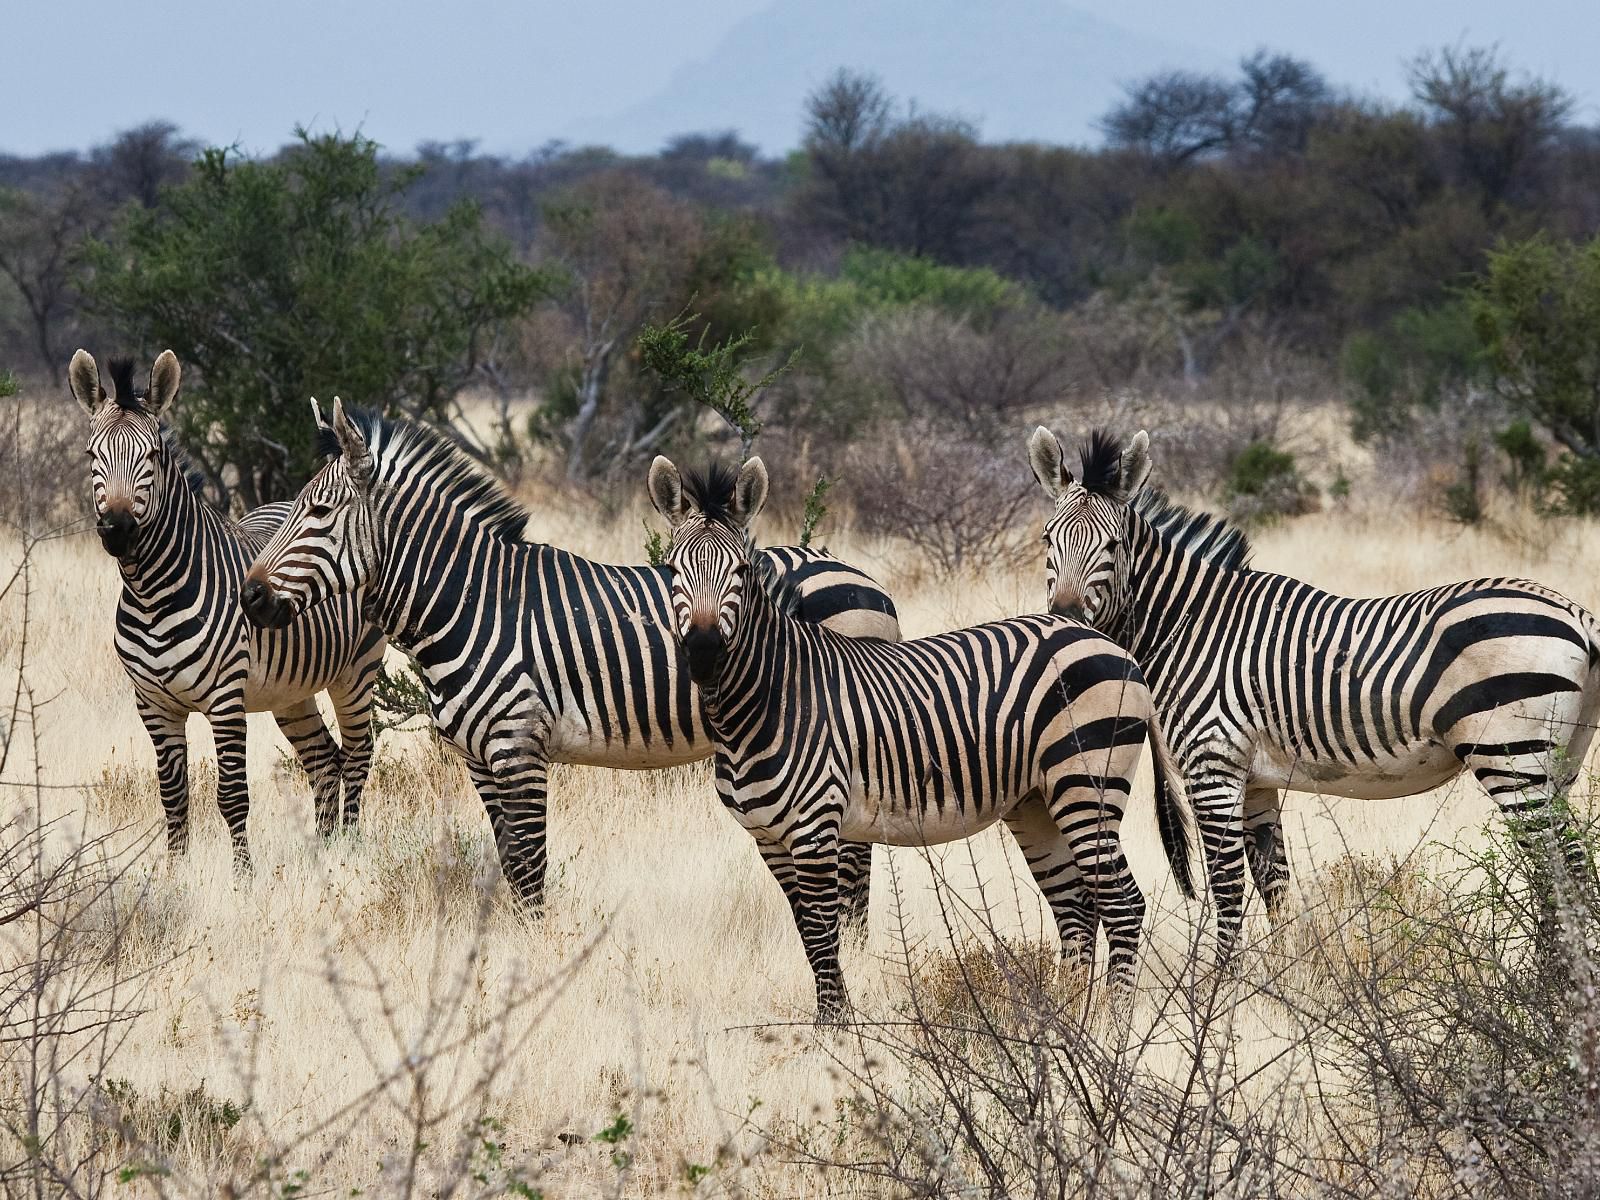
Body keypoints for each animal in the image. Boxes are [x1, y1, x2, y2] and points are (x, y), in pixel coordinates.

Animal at [71, 347, 390, 864]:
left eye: (153, 456)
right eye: (90, 454)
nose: (117, 529)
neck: (152, 592)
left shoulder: (225, 699)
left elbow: (232, 796)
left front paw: (243, 875)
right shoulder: (153, 704)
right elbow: (173, 795)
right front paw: (175, 873)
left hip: (356, 671)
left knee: (358, 754)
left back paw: (349, 849)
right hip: (292, 690)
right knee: (324, 760)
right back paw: (323, 852)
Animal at [241, 401, 908, 921]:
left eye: (318, 513)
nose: (248, 597)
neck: (473, 603)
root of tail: (865, 578)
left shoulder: (519, 749)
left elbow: (531, 871)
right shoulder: (480, 760)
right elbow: (510, 865)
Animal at [643, 454, 1196, 1017]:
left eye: (741, 571)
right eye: (672, 570)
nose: (704, 653)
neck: (768, 698)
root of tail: (1113, 646)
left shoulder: (815, 828)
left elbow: (823, 935)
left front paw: (835, 1027)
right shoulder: (769, 838)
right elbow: (808, 934)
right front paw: (836, 1019)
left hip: (1086, 784)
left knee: (1123, 903)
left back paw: (1111, 1019)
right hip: (1038, 801)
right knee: (1076, 906)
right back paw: (1064, 1014)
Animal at [1024, 425, 1600, 947]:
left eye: (1113, 545)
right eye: (1048, 539)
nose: (1066, 618)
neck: (1192, 625)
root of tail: (1576, 613)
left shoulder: (1213, 768)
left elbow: (1227, 889)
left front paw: (1221, 986)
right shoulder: (1255, 780)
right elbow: (1273, 882)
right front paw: (1286, 977)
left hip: (1511, 756)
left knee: (1562, 866)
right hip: (1557, 759)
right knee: (1569, 866)